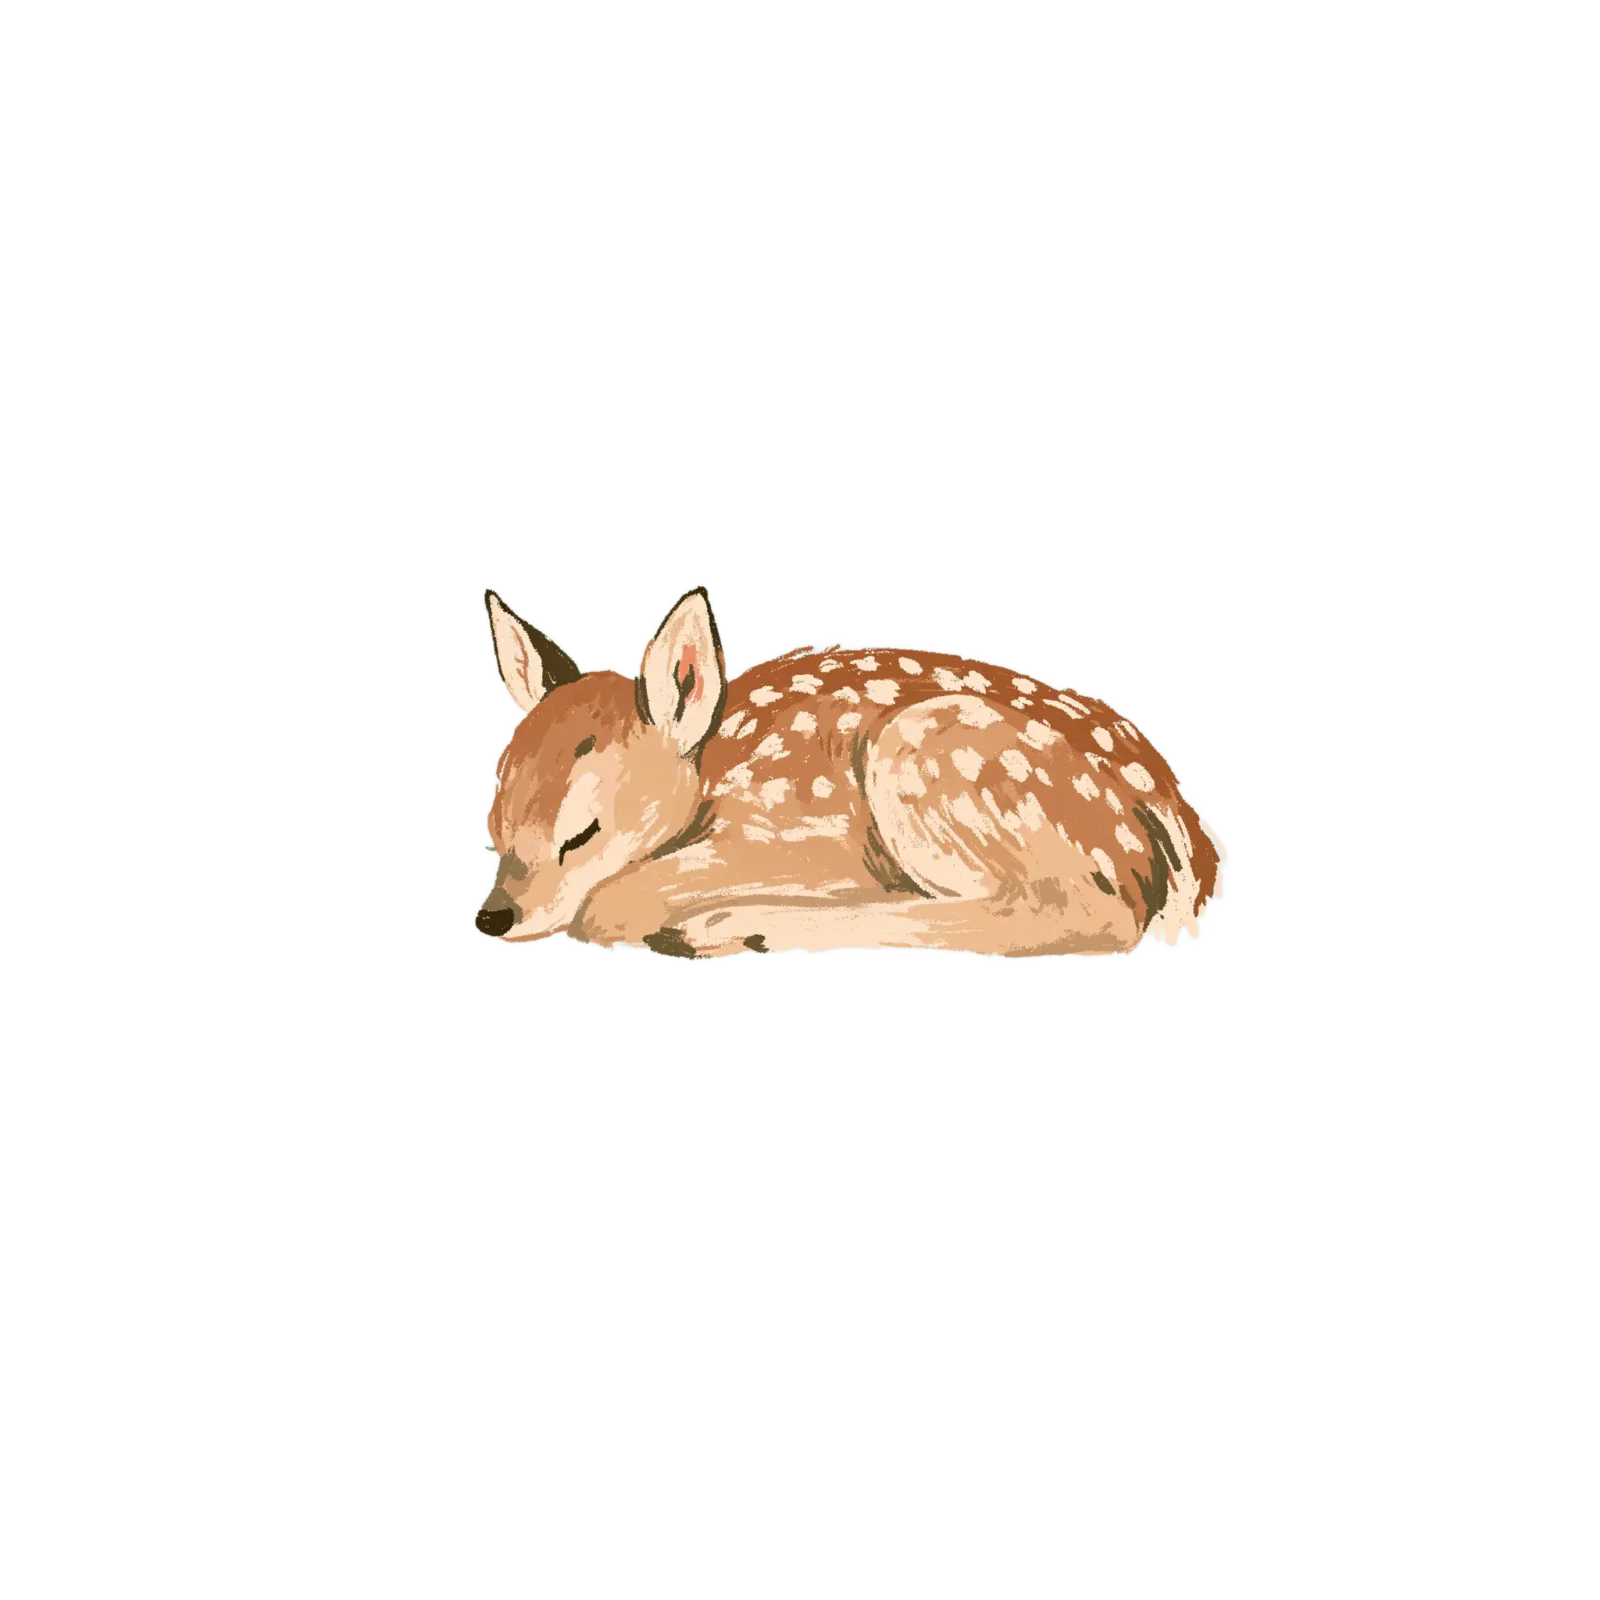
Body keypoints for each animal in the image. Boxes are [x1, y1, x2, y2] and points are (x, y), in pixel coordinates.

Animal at [476, 584, 1230, 958]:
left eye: (584, 832)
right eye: (494, 822)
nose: (493, 918)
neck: (714, 775)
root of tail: (1190, 841)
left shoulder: (802, 834)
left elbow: (608, 902)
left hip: (928, 757)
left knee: (1081, 913)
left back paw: (729, 927)